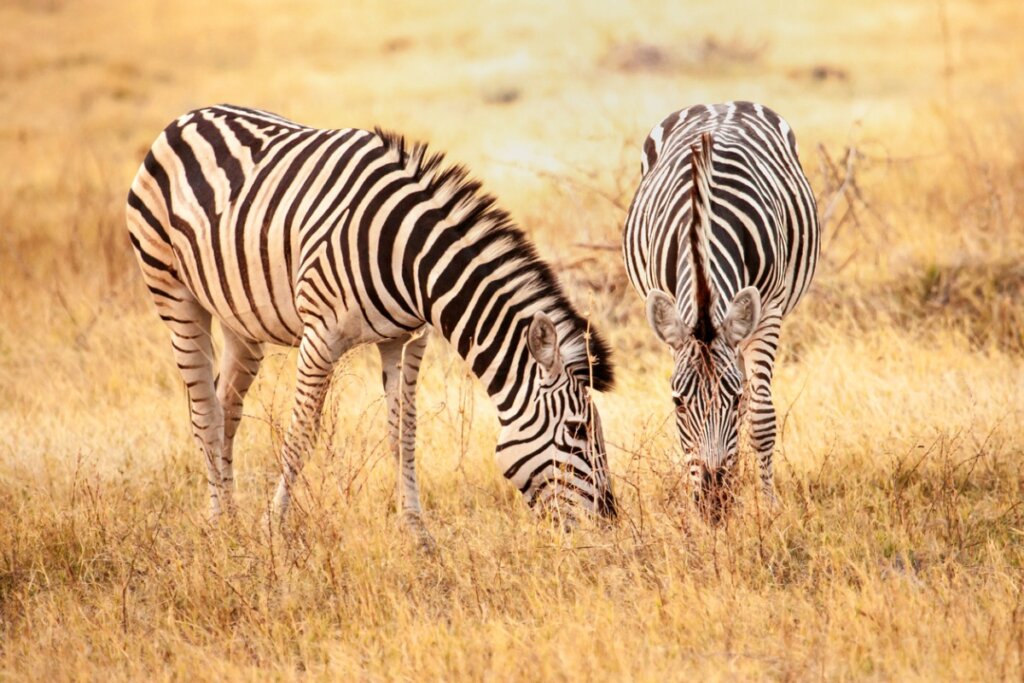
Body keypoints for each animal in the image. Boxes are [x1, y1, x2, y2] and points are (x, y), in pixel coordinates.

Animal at [125, 104, 614, 540]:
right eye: (578, 430)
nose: (610, 522)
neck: (411, 258)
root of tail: (188, 116)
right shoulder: (319, 337)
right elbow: (300, 435)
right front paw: (271, 529)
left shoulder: (407, 339)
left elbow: (405, 434)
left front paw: (418, 534)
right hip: (174, 294)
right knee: (204, 413)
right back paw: (217, 525)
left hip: (240, 321)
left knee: (226, 407)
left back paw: (230, 517)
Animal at [618, 101, 819, 520]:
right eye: (678, 402)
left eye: (734, 397)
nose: (713, 504)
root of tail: (720, 104)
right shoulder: (673, 326)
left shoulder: (768, 311)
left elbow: (760, 416)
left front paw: (768, 505)